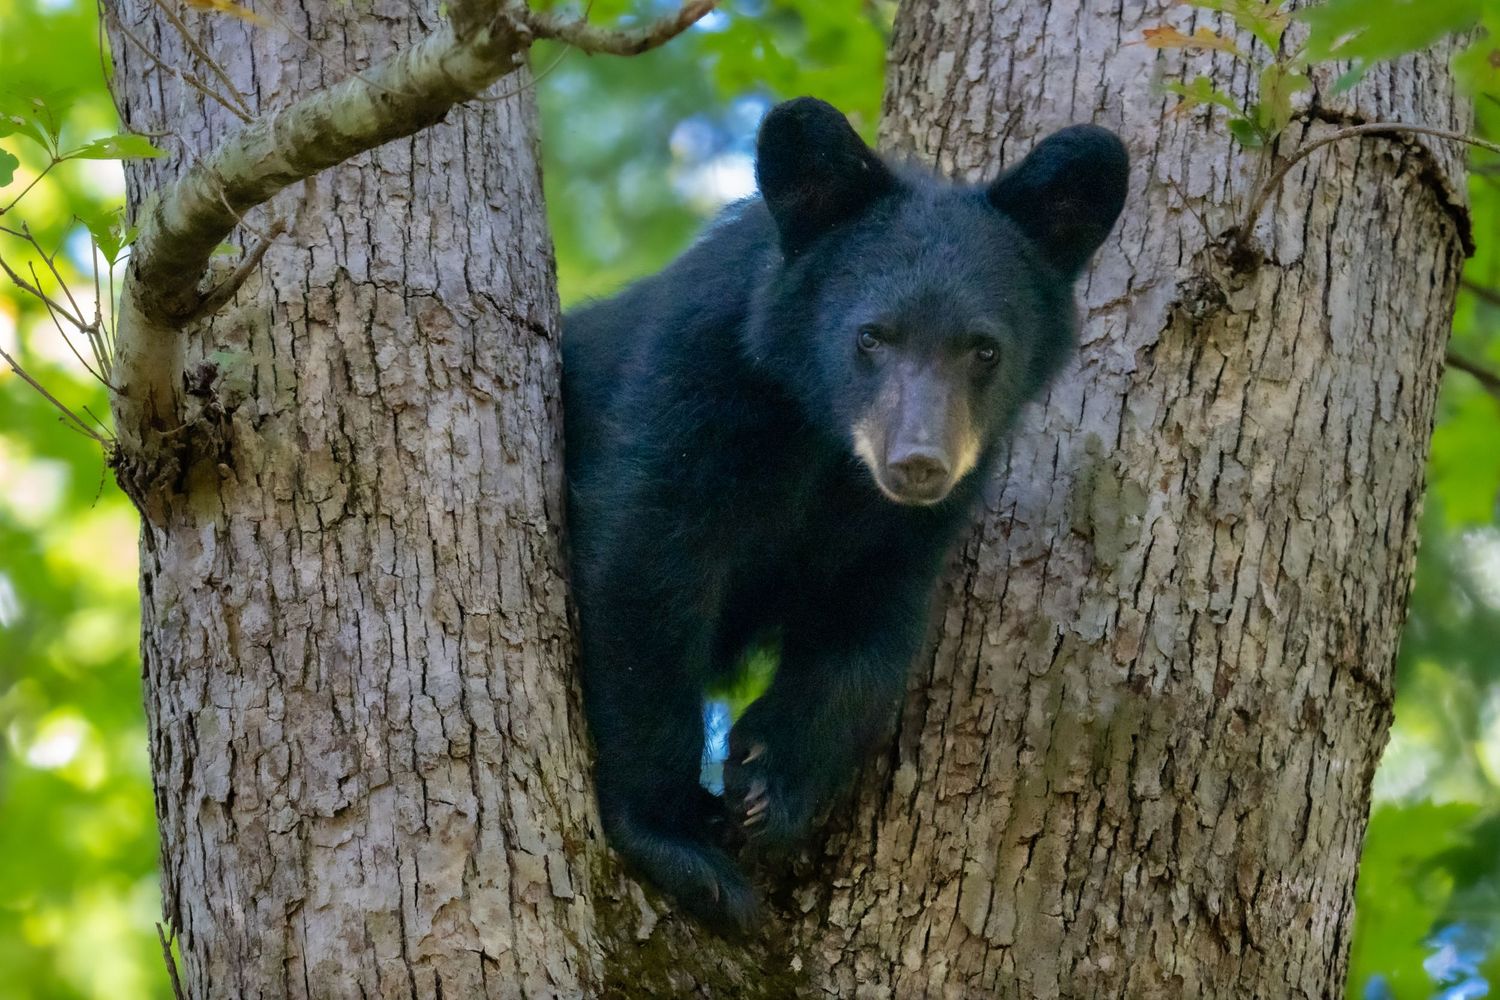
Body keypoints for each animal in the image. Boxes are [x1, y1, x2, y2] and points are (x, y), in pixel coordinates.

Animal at [561, 97, 1128, 933]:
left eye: (984, 350)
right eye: (871, 336)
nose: (918, 462)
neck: (825, 444)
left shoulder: (908, 521)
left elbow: (869, 622)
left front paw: (770, 779)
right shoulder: (692, 383)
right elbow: (646, 570)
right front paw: (679, 841)